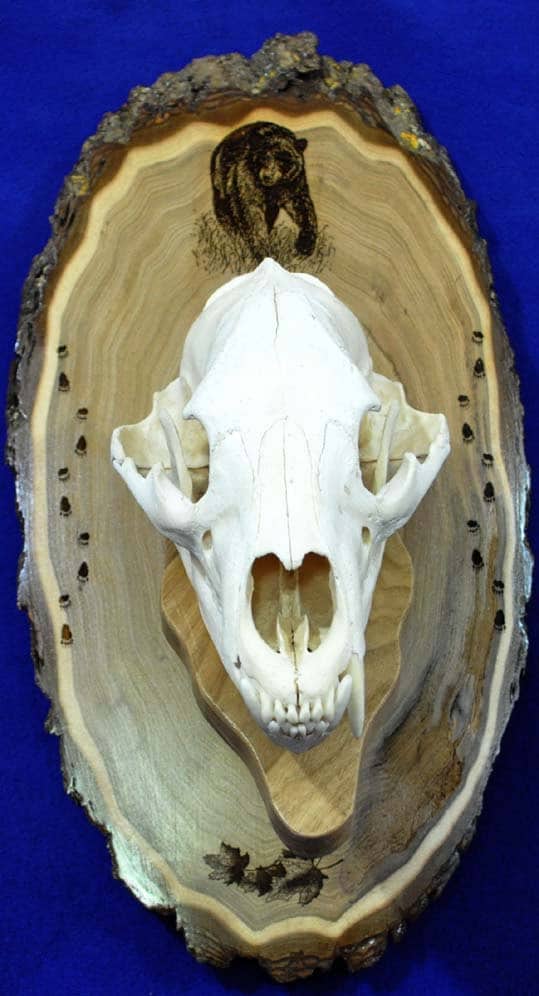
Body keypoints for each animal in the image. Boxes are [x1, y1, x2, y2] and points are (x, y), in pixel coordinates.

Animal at [210, 122, 318, 262]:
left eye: (283, 159)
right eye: (264, 157)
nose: (267, 176)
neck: (272, 189)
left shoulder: (293, 185)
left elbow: (303, 210)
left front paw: (305, 245)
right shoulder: (246, 185)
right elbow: (252, 218)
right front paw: (263, 253)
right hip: (221, 185)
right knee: (225, 214)